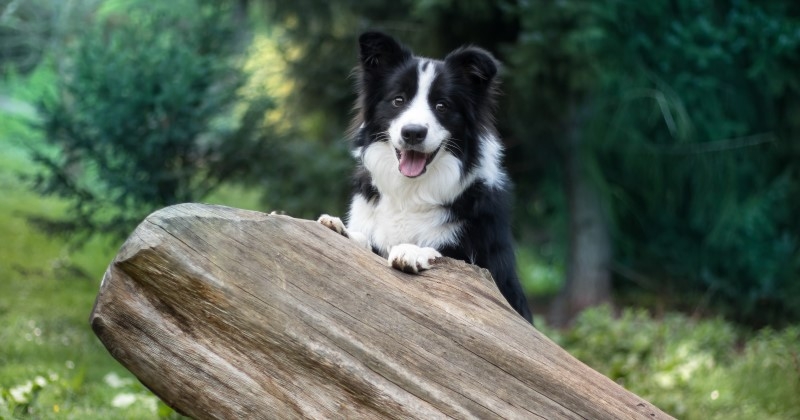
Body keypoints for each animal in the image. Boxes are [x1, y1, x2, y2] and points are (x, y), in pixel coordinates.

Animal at [318, 32, 532, 322]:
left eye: (442, 106)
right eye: (398, 100)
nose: (413, 133)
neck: (410, 190)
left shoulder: (488, 270)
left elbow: (446, 256)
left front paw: (411, 251)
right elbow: (366, 241)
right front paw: (339, 228)